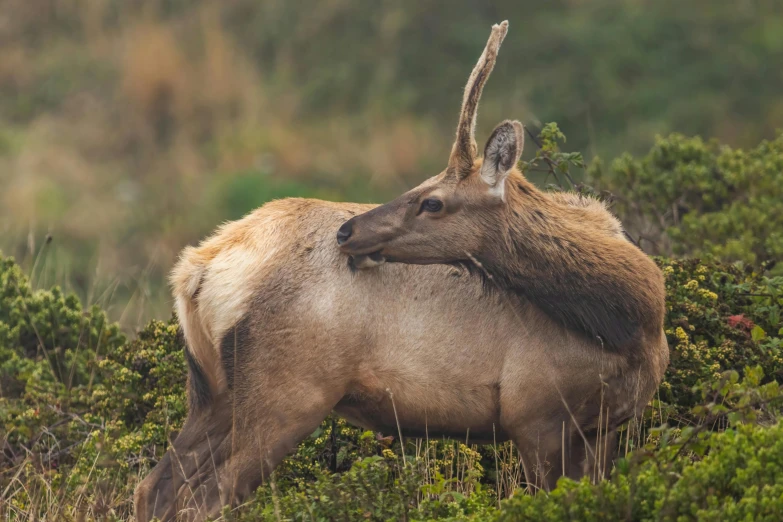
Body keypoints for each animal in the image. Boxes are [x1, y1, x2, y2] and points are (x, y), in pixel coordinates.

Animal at [135, 21, 668, 520]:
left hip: (213, 391)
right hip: (286, 391)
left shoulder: (605, 426)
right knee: (207, 496)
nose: (347, 232)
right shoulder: (534, 411)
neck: (632, 324)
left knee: (155, 486)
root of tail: (197, 270)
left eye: (432, 200)